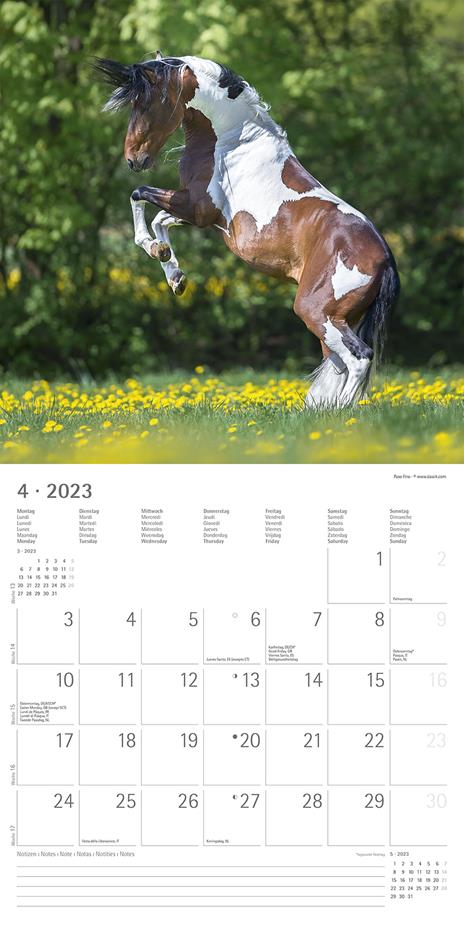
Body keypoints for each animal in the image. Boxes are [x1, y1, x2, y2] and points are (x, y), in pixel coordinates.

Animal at [94, 53, 400, 407]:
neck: (233, 141)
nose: (134, 159)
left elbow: (139, 195)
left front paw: (155, 250)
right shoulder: (204, 216)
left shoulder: (195, 206)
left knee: (358, 358)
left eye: (145, 104)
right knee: (338, 364)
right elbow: (159, 219)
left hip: (317, 311)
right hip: (337, 320)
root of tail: (385, 259)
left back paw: (339, 413)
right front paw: (173, 273)